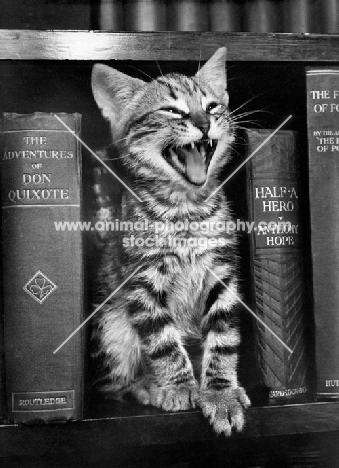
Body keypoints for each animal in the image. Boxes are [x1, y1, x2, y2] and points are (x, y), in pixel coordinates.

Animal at [91, 47, 251, 436]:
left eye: (211, 106)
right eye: (171, 110)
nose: (205, 123)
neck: (186, 209)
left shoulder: (222, 271)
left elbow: (223, 337)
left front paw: (220, 391)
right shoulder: (143, 280)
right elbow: (162, 340)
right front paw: (178, 386)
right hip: (111, 327)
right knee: (111, 385)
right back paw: (147, 385)